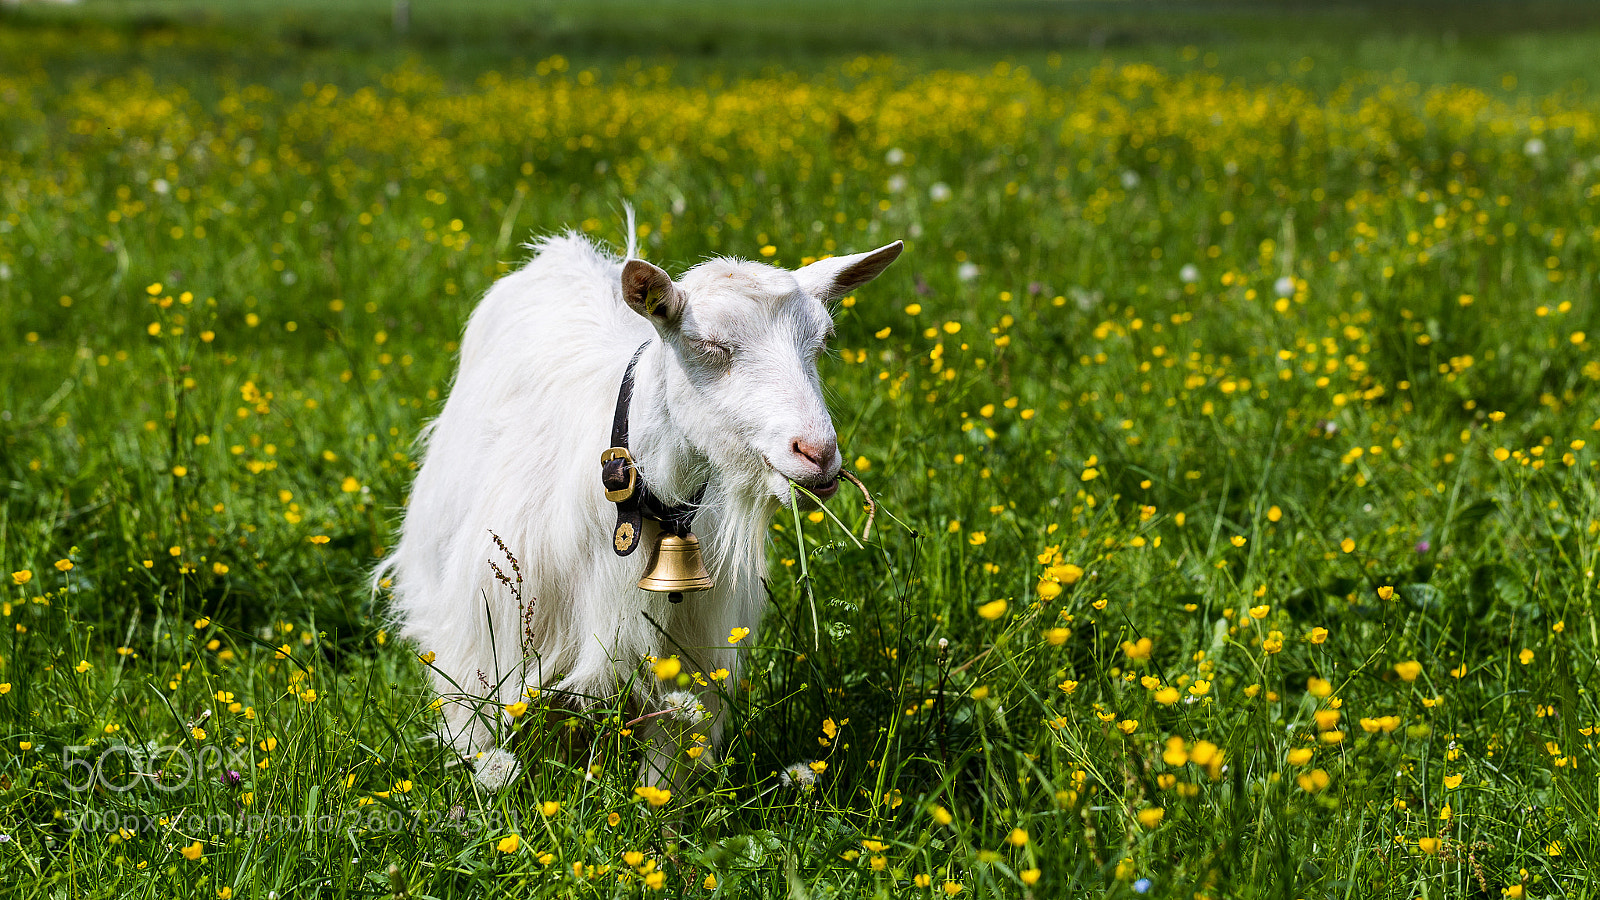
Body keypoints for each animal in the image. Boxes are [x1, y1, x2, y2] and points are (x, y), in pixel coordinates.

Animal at [377, 222, 901, 785]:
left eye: (820, 343)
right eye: (706, 344)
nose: (818, 453)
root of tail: (562, 250)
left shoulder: (687, 653)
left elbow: (666, 766)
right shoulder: (486, 630)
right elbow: (479, 737)